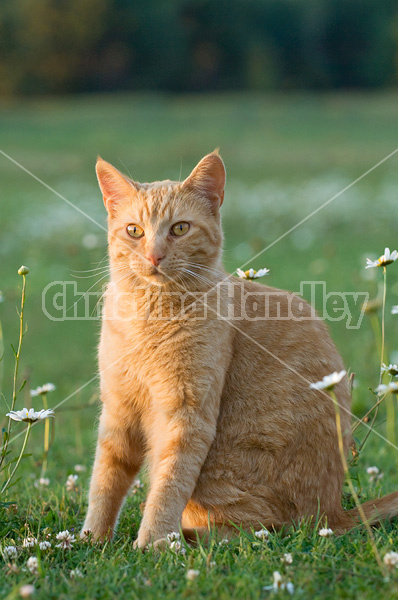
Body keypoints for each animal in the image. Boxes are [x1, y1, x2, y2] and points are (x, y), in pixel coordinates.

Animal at [82, 152, 398, 548]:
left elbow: (168, 485)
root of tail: (331, 512)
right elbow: (104, 482)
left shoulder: (187, 416)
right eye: (135, 231)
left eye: (180, 229)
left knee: (257, 530)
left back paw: (185, 537)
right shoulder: (118, 411)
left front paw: (151, 542)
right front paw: (90, 539)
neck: (151, 313)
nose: (155, 256)